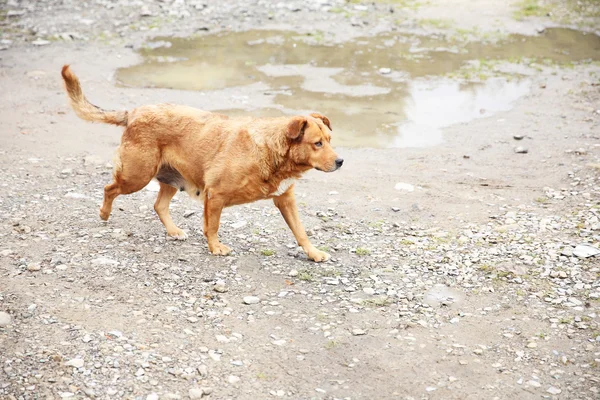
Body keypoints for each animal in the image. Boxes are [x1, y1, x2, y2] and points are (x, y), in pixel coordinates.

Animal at [61, 66, 344, 262]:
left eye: (330, 140)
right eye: (317, 143)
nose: (341, 161)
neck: (271, 151)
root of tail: (134, 112)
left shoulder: (286, 200)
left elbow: (301, 231)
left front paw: (313, 252)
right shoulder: (215, 195)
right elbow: (213, 225)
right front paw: (215, 247)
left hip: (170, 179)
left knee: (158, 205)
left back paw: (173, 231)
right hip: (136, 176)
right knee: (110, 188)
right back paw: (104, 213)